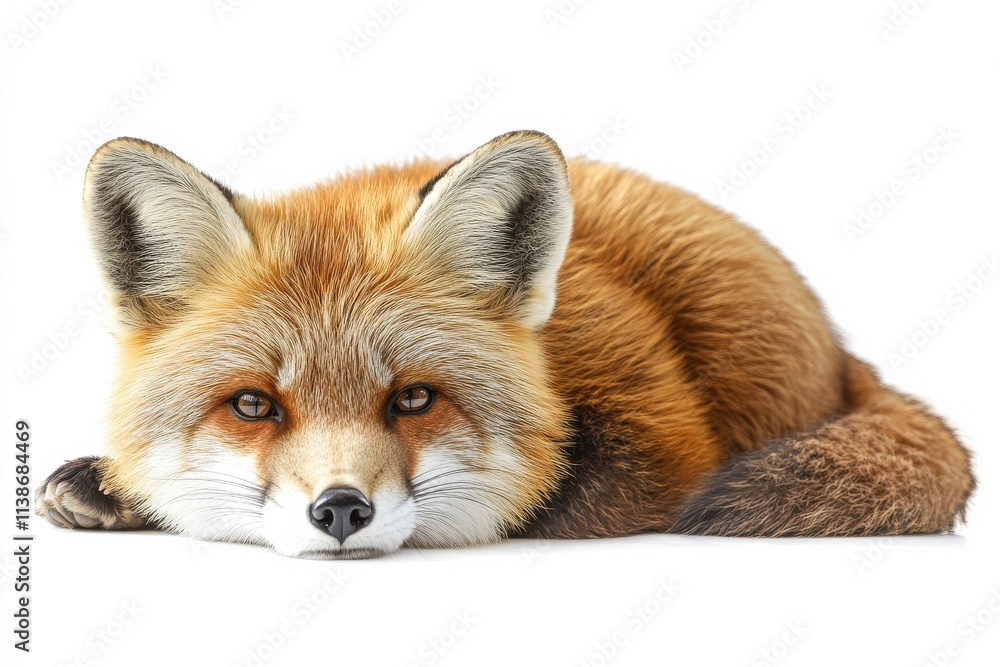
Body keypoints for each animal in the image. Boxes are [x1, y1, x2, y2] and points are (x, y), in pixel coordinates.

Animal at [35, 130, 974, 559]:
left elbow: (542, 494)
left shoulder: (661, 432)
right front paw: (115, 483)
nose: (340, 510)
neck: (554, 359)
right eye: (253, 404)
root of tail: (843, 345)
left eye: (414, 397)